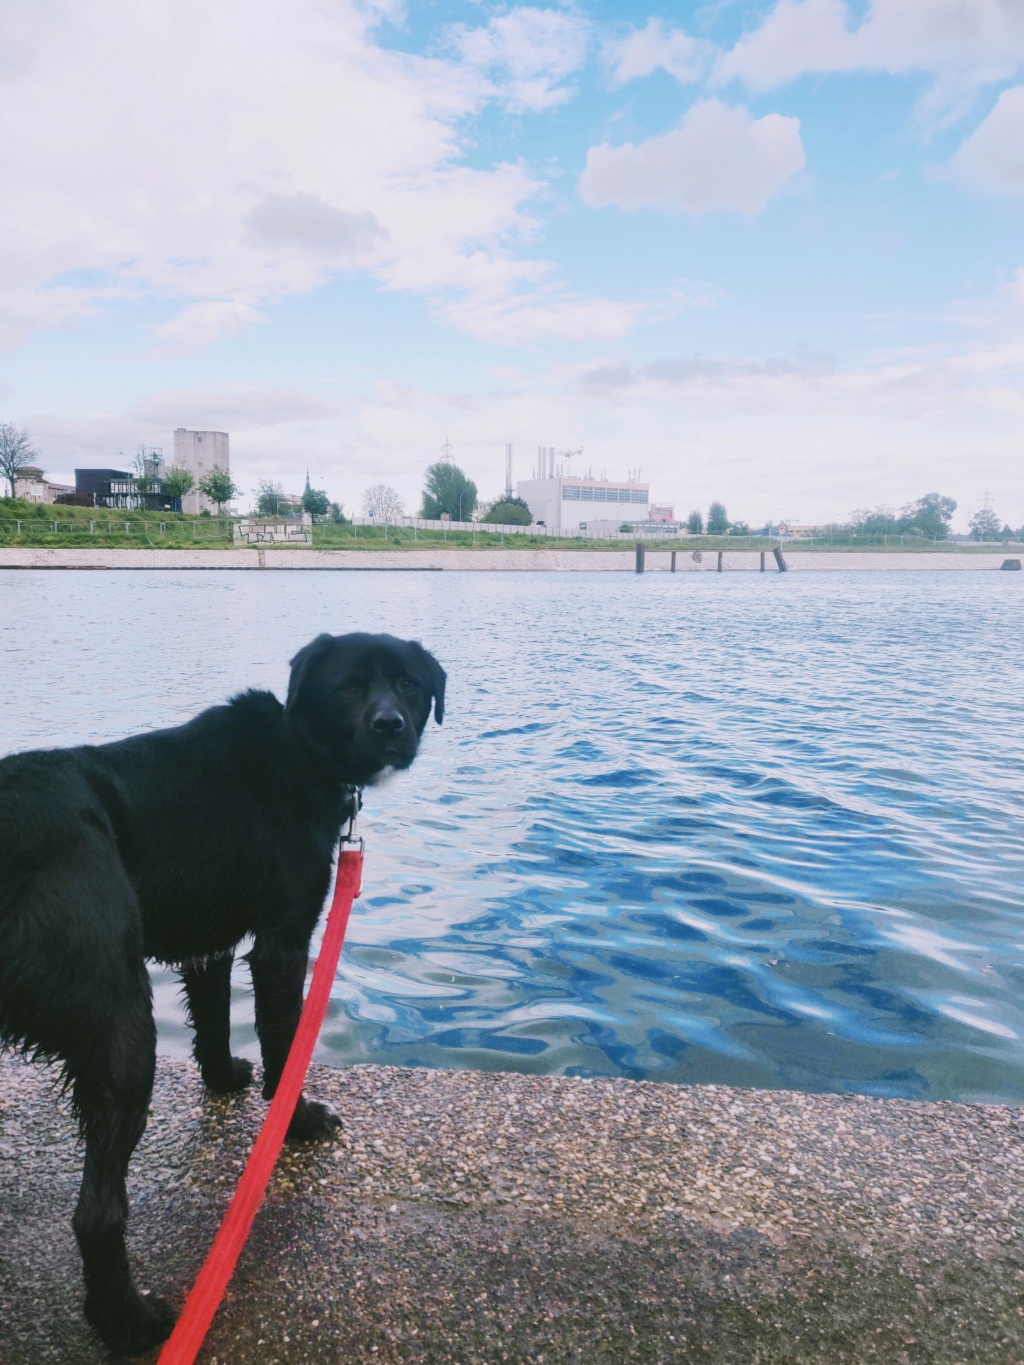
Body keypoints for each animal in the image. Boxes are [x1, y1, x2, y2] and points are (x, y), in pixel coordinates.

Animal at [1, 630, 447, 1354]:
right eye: (350, 685)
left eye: (409, 683)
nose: (391, 725)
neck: (299, 746)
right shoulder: (282, 942)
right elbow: (283, 1040)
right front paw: (296, 1120)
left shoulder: (203, 940)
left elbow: (212, 1018)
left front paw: (223, 1078)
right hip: (125, 1031)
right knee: (97, 1212)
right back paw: (129, 1322)